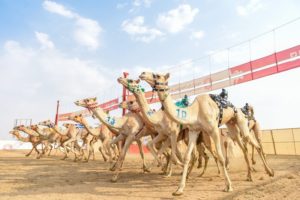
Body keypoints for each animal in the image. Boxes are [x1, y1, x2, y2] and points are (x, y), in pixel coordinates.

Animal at [139, 72, 274, 195]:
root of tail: (241, 109)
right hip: (232, 125)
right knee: (244, 148)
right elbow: (187, 157)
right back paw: (249, 176)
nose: (142, 74)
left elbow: (220, 156)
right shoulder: (193, 131)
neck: (195, 111)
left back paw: (270, 172)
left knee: (256, 145)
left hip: (241, 121)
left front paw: (229, 186)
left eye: (157, 75)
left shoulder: (213, 130)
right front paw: (179, 189)